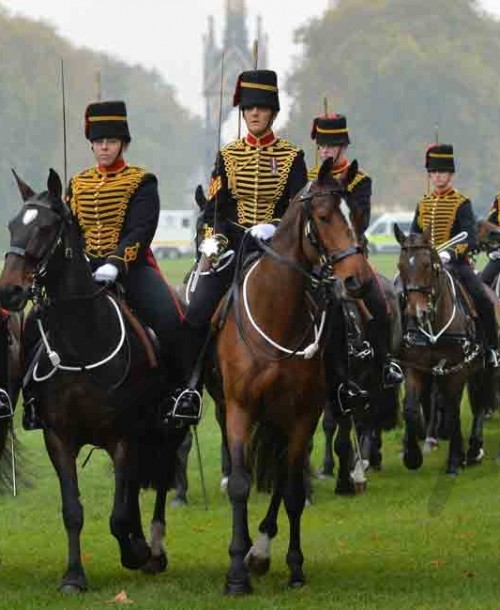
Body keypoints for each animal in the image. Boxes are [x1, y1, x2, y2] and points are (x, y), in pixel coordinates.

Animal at [0, 167, 188, 588]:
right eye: (12, 225)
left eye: (46, 227)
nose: (10, 291)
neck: (82, 343)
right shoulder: (59, 438)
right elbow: (73, 510)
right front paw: (74, 576)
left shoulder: (123, 437)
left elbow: (119, 513)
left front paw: (135, 552)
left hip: (167, 428)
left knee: (159, 480)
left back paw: (153, 549)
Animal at [211, 158, 372, 592]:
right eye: (324, 216)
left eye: (359, 216)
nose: (359, 281)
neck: (277, 314)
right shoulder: (239, 408)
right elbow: (239, 483)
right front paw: (235, 573)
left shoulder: (302, 416)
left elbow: (293, 490)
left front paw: (292, 566)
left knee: (284, 477)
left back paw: (262, 549)